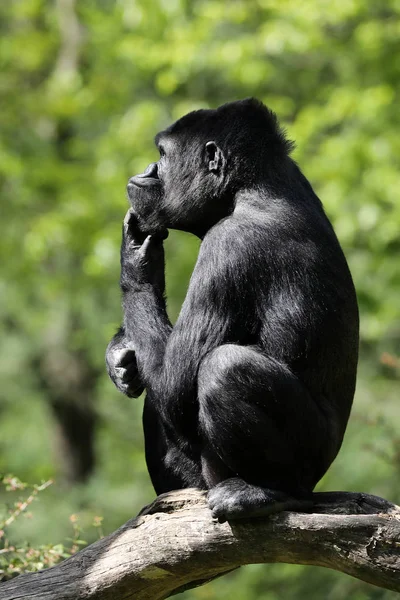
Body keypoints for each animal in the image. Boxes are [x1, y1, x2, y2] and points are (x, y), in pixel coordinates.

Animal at [106, 97, 360, 520]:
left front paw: (137, 261)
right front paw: (119, 353)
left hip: (311, 465)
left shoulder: (228, 247)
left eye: (163, 154)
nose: (148, 170)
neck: (246, 190)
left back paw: (270, 490)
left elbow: (175, 388)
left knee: (225, 369)